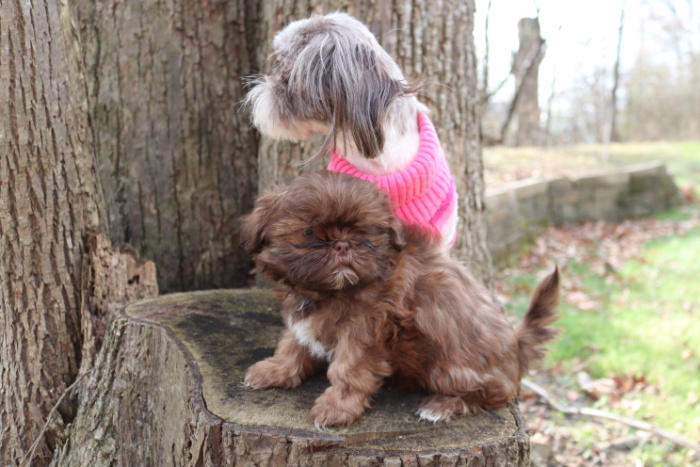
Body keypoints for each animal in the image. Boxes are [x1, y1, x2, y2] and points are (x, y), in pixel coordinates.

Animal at [241, 171, 556, 428]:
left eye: (363, 231)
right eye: (308, 232)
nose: (342, 244)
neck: (331, 290)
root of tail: (518, 346)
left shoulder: (366, 329)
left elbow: (348, 369)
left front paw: (337, 406)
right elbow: (294, 342)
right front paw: (277, 369)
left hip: (450, 365)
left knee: (490, 393)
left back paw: (441, 406)